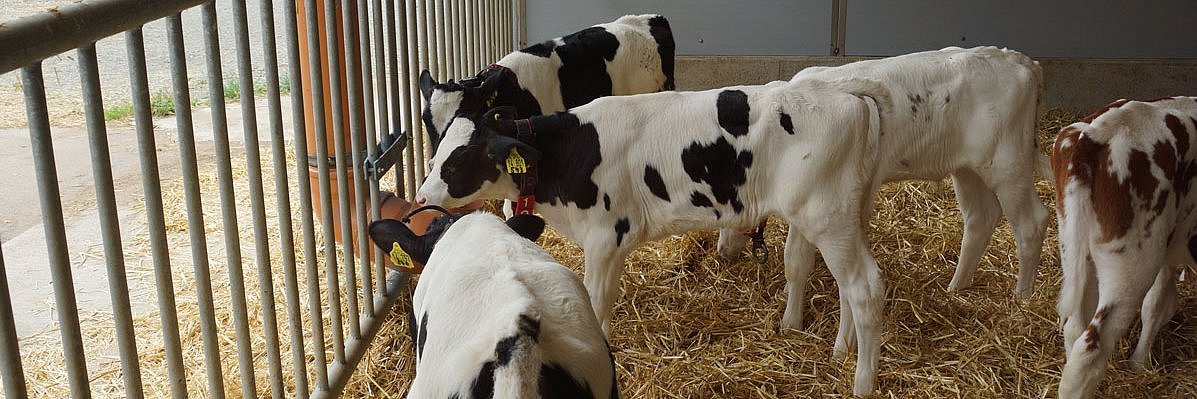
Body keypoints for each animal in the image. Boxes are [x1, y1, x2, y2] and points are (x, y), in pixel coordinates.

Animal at [411, 76, 890, 390]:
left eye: (456, 161)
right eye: (436, 148)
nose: (419, 198)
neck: (569, 152)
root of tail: (851, 97)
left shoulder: (603, 237)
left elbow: (596, 301)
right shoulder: (616, 242)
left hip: (827, 216)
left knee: (865, 287)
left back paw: (862, 382)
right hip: (839, 216)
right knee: (841, 283)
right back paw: (838, 349)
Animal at [1053, 96, 1192, 397]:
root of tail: (1095, 135)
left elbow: (1157, 300)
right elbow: (1157, 301)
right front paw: (1139, 364)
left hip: (1075, 248)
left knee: (1074, 327)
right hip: (1133, 263)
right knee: (1089, 349)